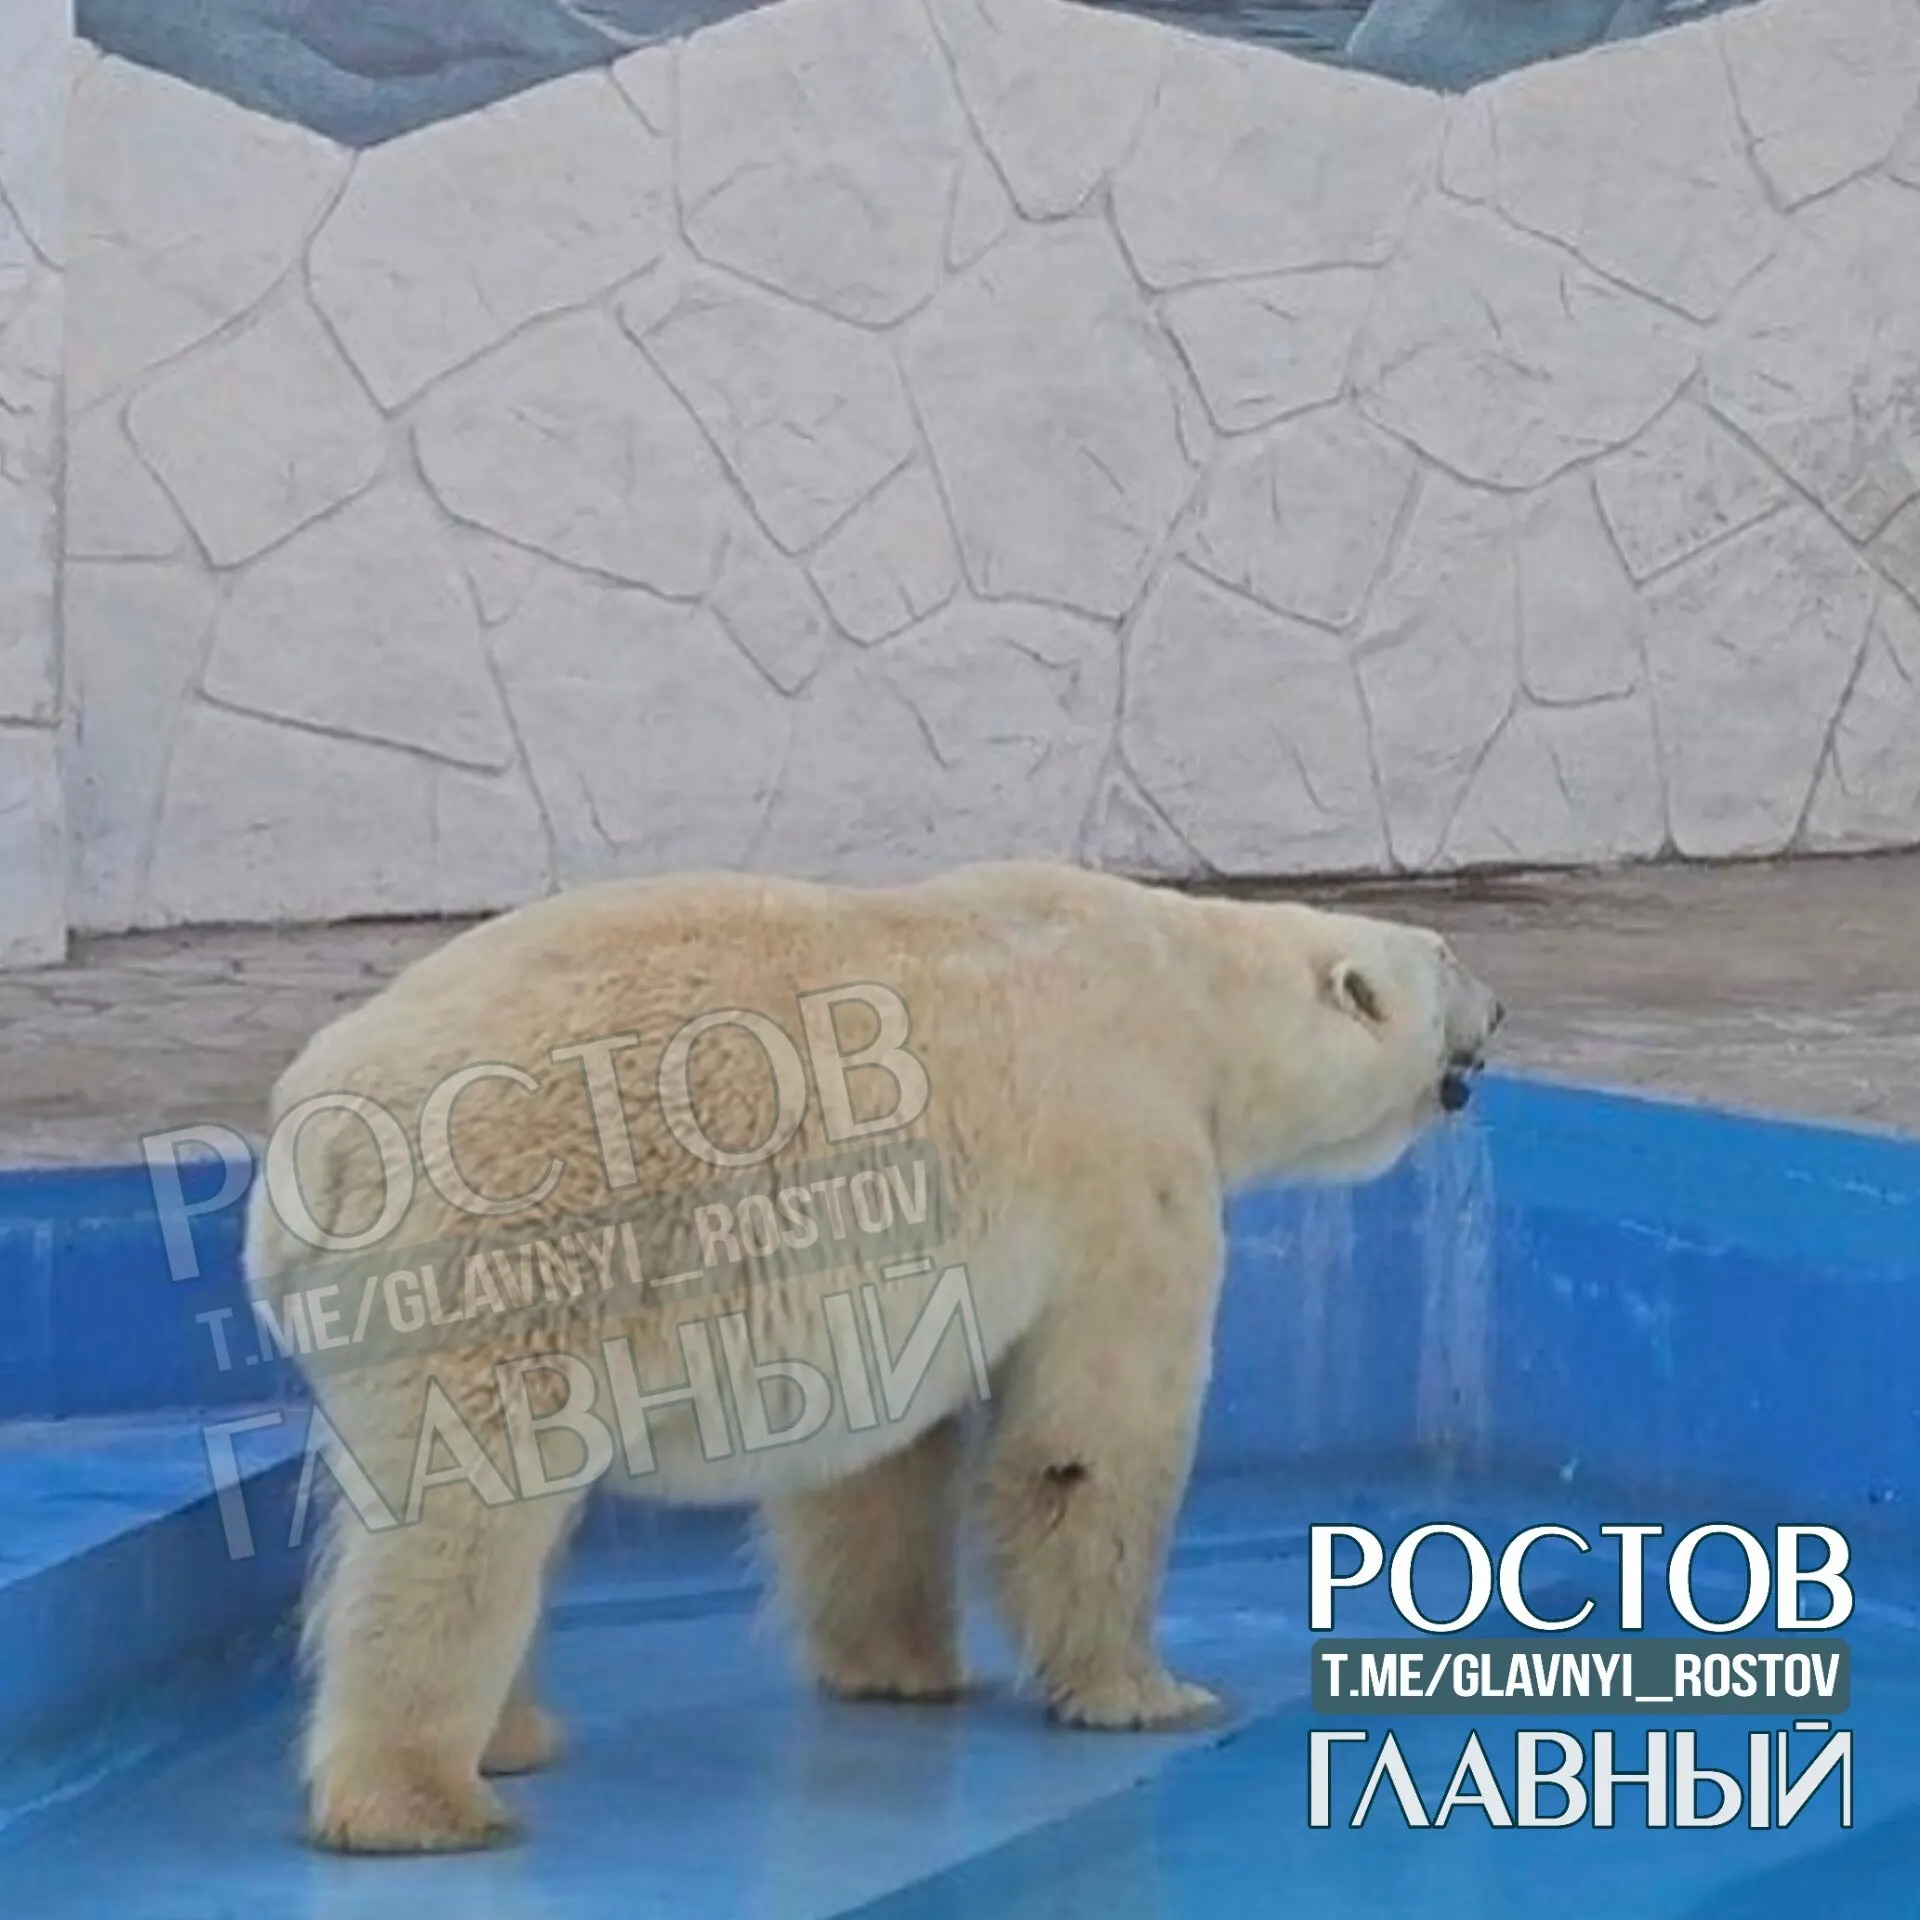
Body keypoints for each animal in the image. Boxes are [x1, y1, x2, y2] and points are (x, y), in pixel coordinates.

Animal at [243, 859, 1502, 1854]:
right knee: (469, 1517)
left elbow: (874, 1460)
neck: (1186, 989)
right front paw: (1148, 1692)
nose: (1498, 1005)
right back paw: (424, 1804)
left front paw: (904, 1669)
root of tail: (316, 1143)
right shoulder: (1128, 1153)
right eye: (1446, 959)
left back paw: (516, 1735)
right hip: (515, 1233)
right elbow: (1089, 1443)